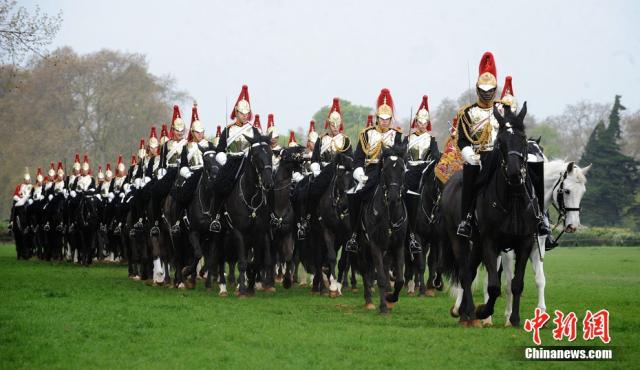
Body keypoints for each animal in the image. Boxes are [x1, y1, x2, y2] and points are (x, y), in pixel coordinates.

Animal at [358, 146, 408, 314]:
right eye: (385, 169)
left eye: (402, 169)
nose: (392, 198)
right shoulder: (375, 245)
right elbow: (378, 276)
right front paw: (383, 307)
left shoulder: (398, 245)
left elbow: (399, 279)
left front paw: (390, 298)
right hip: (363, 245)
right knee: (365, 269)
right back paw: (368, 300)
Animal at [440, 102, 536, 326]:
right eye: (500, 141)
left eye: (523, 138)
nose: (514, 173)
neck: (512, 200)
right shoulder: (490, 242)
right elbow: (493, 286)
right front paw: (483, 311)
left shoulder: (525, 243)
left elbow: (516, 284)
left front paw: (515, 319)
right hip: (460, 240)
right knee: (465, 274)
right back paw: (468, 313)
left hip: (476, 243)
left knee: (470, 270)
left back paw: (465, 313)